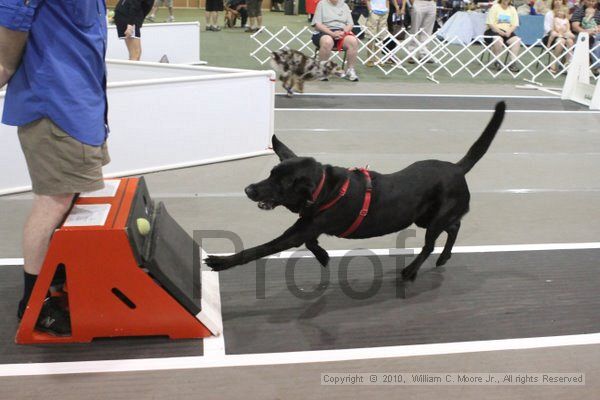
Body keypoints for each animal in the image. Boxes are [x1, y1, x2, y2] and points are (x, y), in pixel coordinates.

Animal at [207, 102, 506, 282]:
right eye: (270, 173)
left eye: (280, 183)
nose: (248, 189)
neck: (325, 189)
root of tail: (457, 168)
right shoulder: (308, 226)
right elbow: (311, 242)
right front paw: (323, 256)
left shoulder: (297, 232)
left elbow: (259, 249)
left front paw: (220, 262)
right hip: (425, 217)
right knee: (454, 227)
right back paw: (444, 258)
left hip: (434, 219)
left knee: (431, 243)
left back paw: (410, 271)